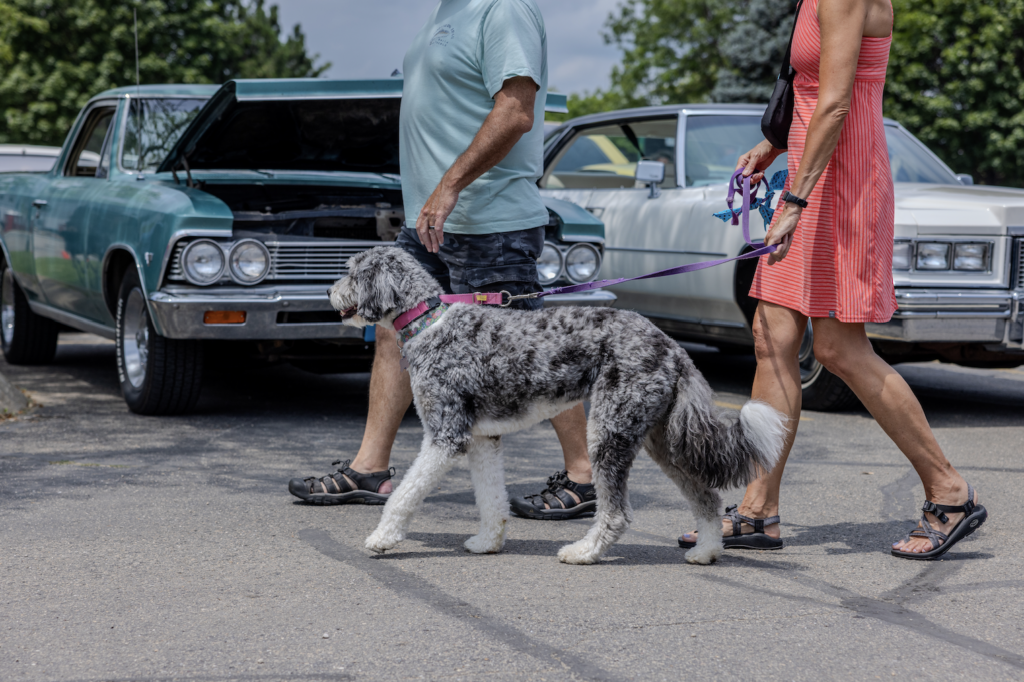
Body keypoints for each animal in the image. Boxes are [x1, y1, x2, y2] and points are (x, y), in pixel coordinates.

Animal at [327, 244, 782, 561]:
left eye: (351, 273)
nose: (329, 290)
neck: (429, 323)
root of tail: (670, 345)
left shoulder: (445, 436)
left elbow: (405, 494)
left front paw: (381, 539)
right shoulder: (482, 440)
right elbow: (490, 498)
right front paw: (487, 542)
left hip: (609, 433)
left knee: (616, 513)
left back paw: (585, 553)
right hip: (660, 439)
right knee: (705, 497)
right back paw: (706, 551)